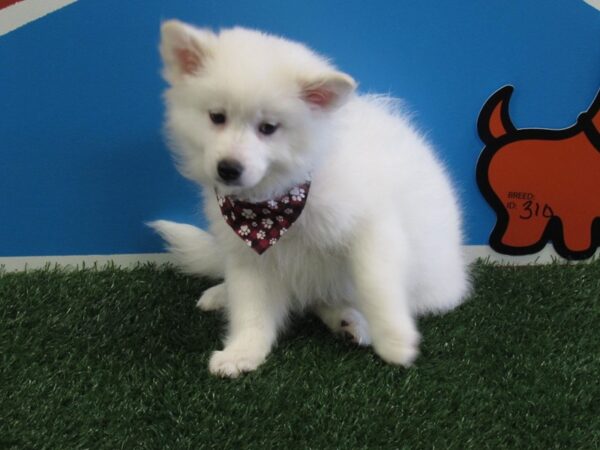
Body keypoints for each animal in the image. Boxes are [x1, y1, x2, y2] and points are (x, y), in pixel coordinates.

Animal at [150, 22, 468, 380]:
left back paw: (353, 321)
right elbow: (250, 308)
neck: (275, 205)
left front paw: (395, 340)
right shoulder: (249, 256)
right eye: (217, 117)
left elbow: (376, 283)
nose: (228, 168)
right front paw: (242, 351)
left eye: (268, 128)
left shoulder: (373, 228)